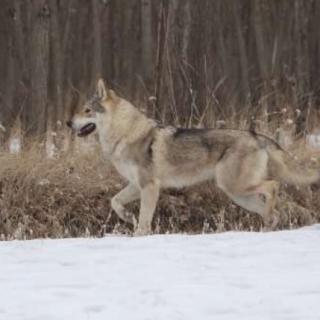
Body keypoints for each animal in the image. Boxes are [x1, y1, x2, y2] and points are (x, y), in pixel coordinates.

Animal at [66, 79, 318, 236]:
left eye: (87, 110)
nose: (68, 123)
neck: (125, 134)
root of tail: (258, 136)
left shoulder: (150, 186)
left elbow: (145, 220)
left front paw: (139, 234)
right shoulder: (136, 185)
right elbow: (115, 201)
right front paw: (128, 217)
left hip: (235, 187)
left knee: (273, 186)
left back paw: (268, 219)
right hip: (237, 194)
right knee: (272, 206)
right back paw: (268, 224)